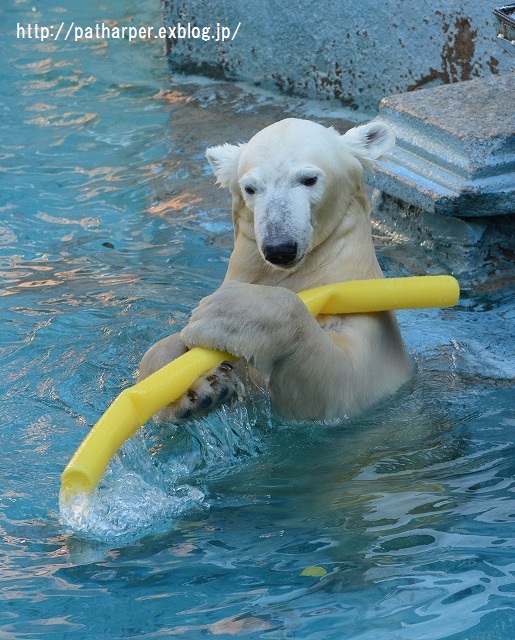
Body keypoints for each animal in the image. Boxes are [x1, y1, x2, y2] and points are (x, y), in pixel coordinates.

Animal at [139, 117, 414, 422]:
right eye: (250, 188)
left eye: (309, 179)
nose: (279, 247)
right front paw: (203, 389)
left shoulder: (368, 321)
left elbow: (339, 381)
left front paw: (227, 311)